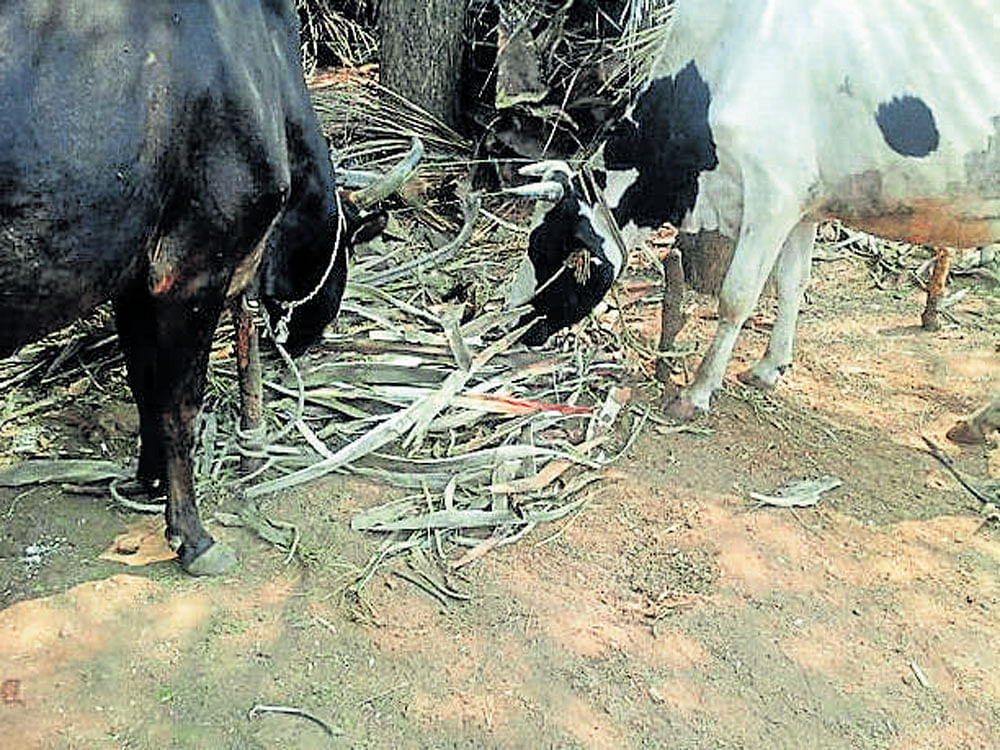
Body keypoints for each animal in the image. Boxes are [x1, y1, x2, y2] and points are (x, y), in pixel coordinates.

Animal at [2, 0, 402, 576]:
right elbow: (180, 407)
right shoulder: (190, 274)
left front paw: (148, 482)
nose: (306, 341)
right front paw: (192, 537)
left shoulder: (136, 284)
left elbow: (145, 385)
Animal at [512, 0, 1000, 418]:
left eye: (548, 252)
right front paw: (770, 367)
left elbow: (736, 296)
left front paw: (696, 393)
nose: (511, 325)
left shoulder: (773, 195)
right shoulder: (804, 204)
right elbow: (792, 282)